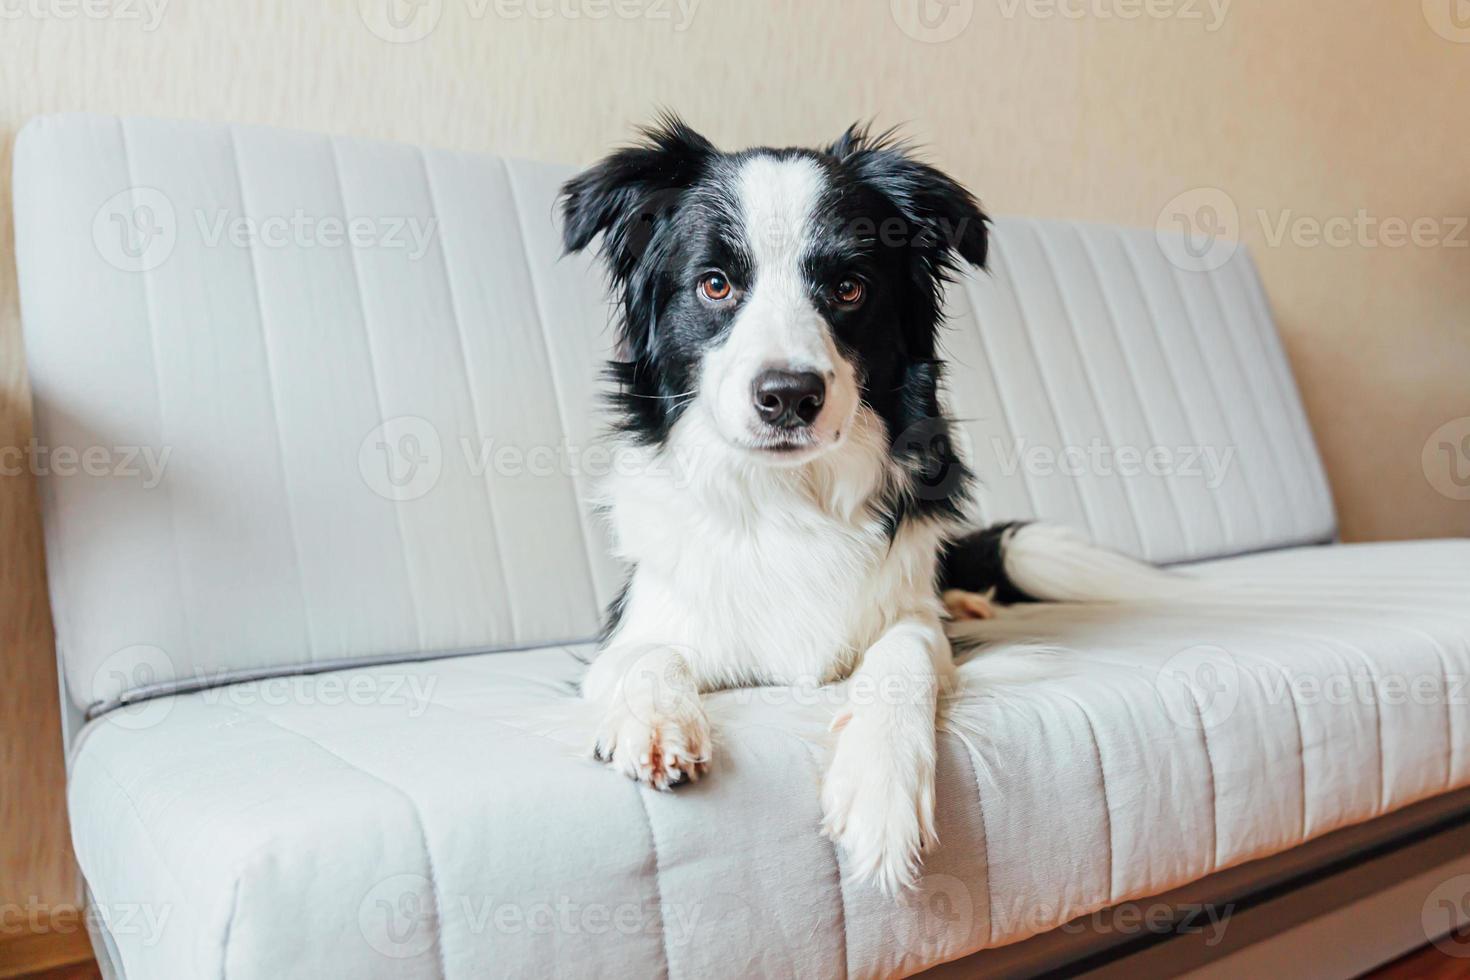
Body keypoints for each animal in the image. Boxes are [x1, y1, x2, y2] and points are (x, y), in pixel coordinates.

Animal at [555, 116, 1164, 899]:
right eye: (715, 284)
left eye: (848, 288)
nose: (788, 395)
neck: (785, 498)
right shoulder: (631, 627)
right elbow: (647, 654)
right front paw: (656, 724)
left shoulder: (909, 615)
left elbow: (904, 655)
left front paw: (881, 789)